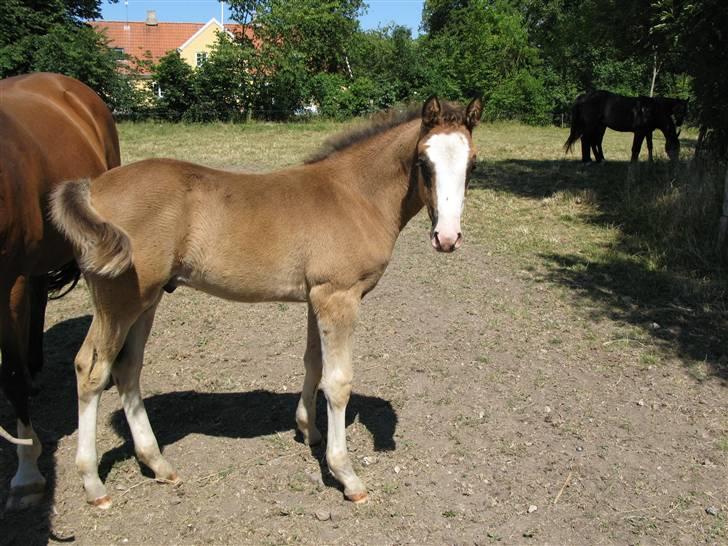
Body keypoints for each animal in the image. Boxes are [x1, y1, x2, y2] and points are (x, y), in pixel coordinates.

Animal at [51, 94, 484, 506]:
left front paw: (308, 430)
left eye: (473, 165)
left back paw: (158, 463)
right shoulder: (338, 296)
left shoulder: (316, 296)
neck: (355, 195)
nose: (447, 238)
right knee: (91, 369)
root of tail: (92, 186)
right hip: (119, 301)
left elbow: (313, 363)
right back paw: (93, 484)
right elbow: (338, 382)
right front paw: (346, 475)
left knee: (128, 368)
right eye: (423, 161)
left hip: (148, 298)